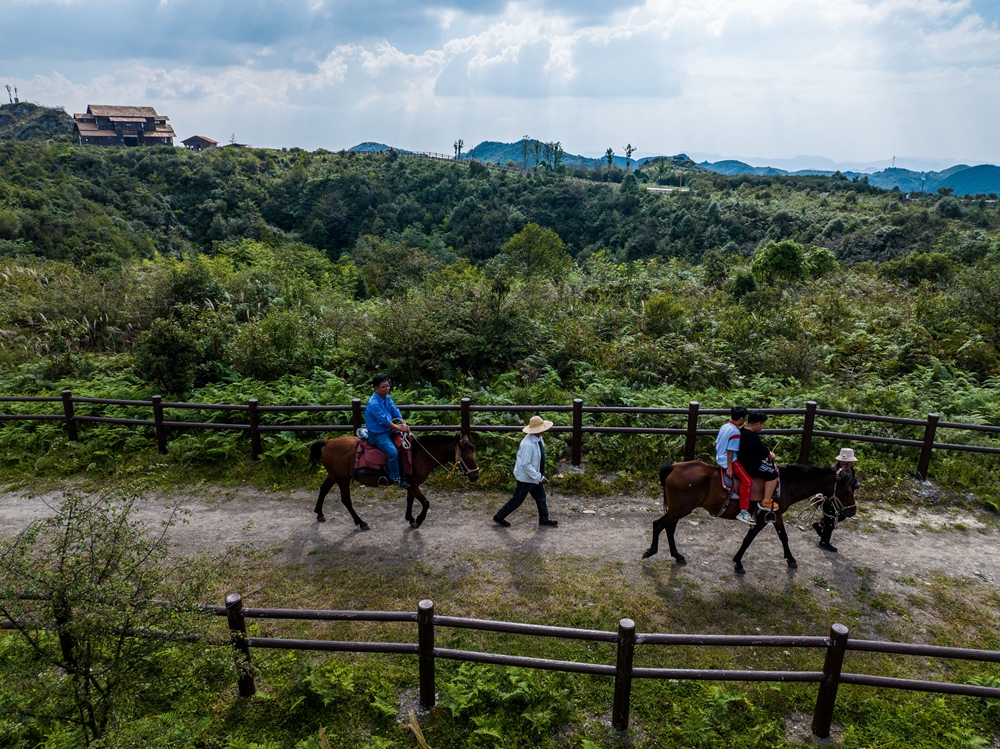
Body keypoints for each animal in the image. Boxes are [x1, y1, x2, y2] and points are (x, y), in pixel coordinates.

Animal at [308, 430, 480, 528]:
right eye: (468, 458)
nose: (476, 476)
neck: (419, 455)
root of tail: (328, 442)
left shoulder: (411, 484)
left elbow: (410, 500)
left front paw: (410, 517)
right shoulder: (412, 484)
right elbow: (425, 502)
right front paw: (418, 520)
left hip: (334, 475)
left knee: (323, 489)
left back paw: (320, 513)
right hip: (342, 480)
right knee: (346, 500)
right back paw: (361, 522)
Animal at [644, 462, 856, 572]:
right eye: (847, 489)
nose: (852, 511)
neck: (786, 484)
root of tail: (673, 466)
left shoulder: (776, 515)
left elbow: (783, 537)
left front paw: (791, 559)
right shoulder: (762, 519)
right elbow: (748, 539)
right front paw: (738, 562)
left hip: (678, 509)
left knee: (669, 527)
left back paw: (677, 555)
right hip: (679, 509)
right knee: (658, 524)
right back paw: (651, 551)